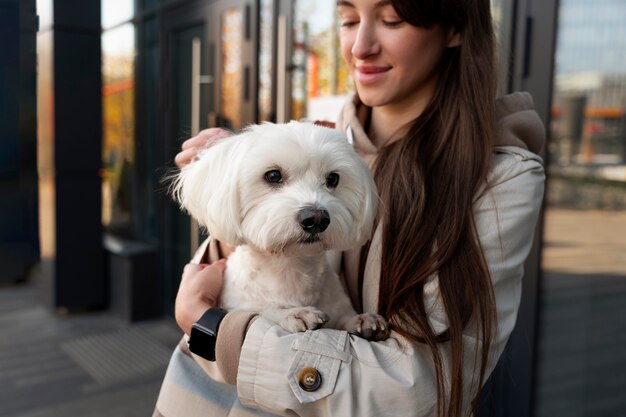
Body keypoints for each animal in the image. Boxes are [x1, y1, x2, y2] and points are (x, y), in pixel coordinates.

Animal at [171, 121, 386, 342]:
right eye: (273, 175)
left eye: (333, 179)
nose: (316, 219)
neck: (289, 267)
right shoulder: (238, 303)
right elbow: (262, 310)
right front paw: (293, 313)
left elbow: (342, 317)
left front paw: (361, 319)